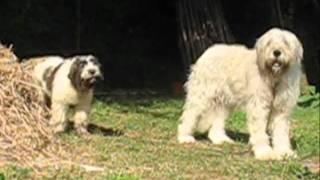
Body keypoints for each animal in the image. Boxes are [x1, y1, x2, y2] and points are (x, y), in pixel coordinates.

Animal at [176, 27, 304, 160]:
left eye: (285, 42)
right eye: (269, 42)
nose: (277, 52)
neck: (274, 77)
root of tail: (209, 51)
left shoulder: (281, 109)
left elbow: (281, 132)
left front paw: (284, 151)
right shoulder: (259, 107)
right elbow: (259, 130)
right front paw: (264, 152)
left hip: (223, 103)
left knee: (216, 124)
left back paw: (221, 139)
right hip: (201, 96)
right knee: (189, 115)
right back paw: (185, 137)